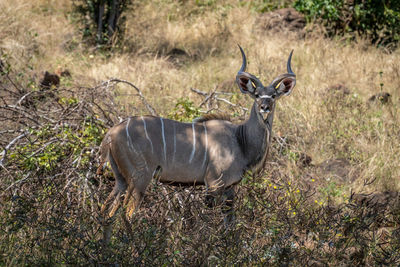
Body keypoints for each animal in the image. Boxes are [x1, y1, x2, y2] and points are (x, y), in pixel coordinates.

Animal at [97, 46, 296, 243]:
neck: (240, 140)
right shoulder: (214, 184)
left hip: (121, 180)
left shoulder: (230, 189)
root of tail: (110, 134)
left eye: (273, 96)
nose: (264, 108)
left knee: (106, 213)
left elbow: (229, 224)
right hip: (140, 178)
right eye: (256, 95)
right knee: (126, 214)